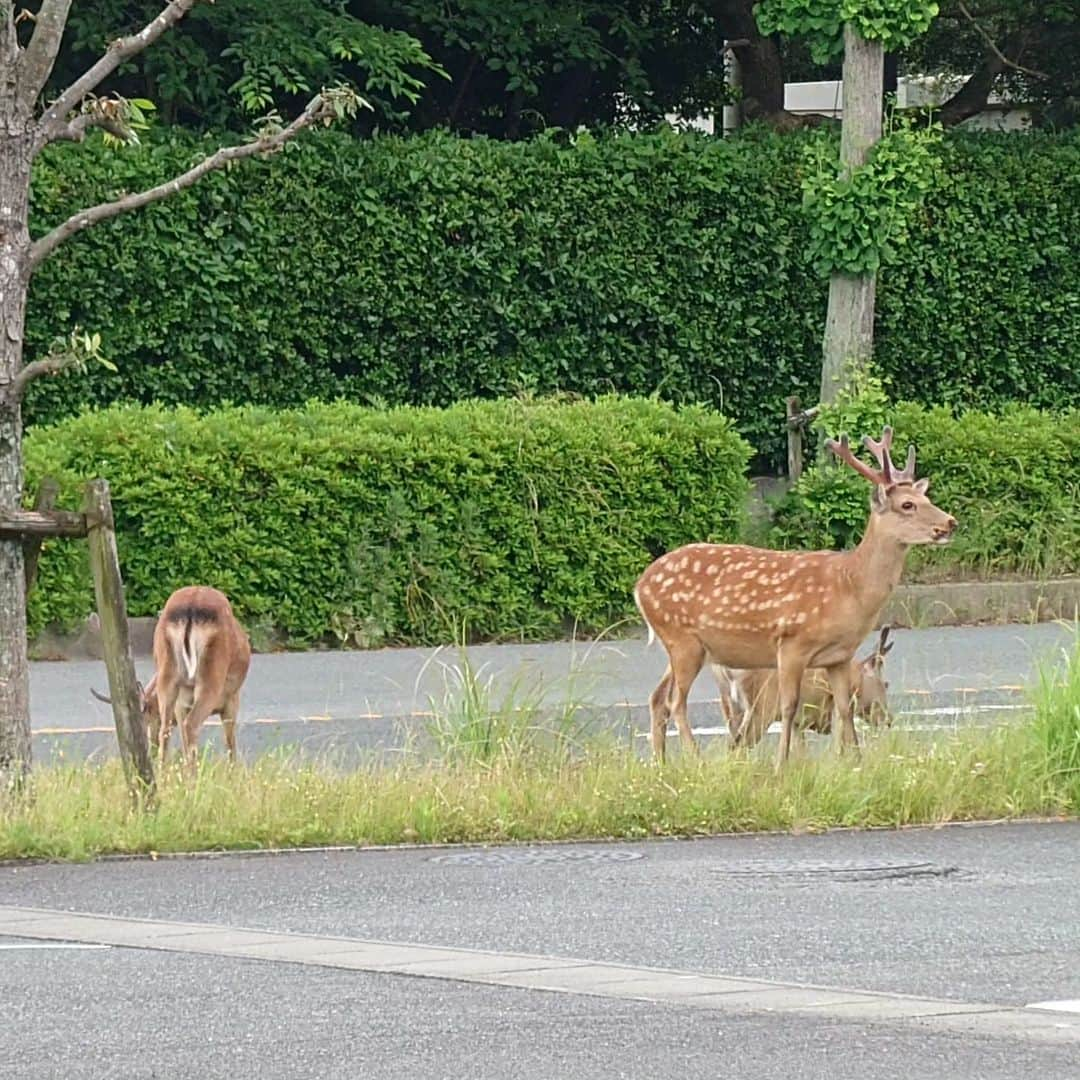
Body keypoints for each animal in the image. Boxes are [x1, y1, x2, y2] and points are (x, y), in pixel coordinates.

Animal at [94, 587, 250, 773]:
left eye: (147, 719)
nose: (151, 747)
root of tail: (191, 607)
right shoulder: (231, 699)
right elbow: (230, 743)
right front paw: (233, 774)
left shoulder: (181, 703)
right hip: (211, 675)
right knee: (191, 725)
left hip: (167, 672)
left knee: (167, 729)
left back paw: (164, 773)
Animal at [717, 626, 894, 751]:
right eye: (885, 684)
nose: (889, 720)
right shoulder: (835, 708)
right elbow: (842, 745)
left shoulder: (798, 721)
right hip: (760, 708)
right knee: (738, 746)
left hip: (730, 707)